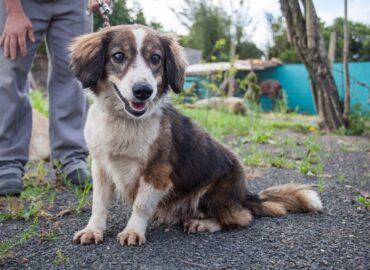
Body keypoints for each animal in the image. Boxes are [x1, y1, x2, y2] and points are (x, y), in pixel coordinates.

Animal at [68, 25, 320, 247]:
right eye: (118, 56)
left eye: (156, 59)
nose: (143, 91)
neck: (125, 121)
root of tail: (245, 194)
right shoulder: (101, 167)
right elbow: (99, 204)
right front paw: (93, 230)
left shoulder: (158, 174)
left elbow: (141, 205)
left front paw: (133, 231)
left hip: (213, 194)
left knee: (240, 218)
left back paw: (203, 224)